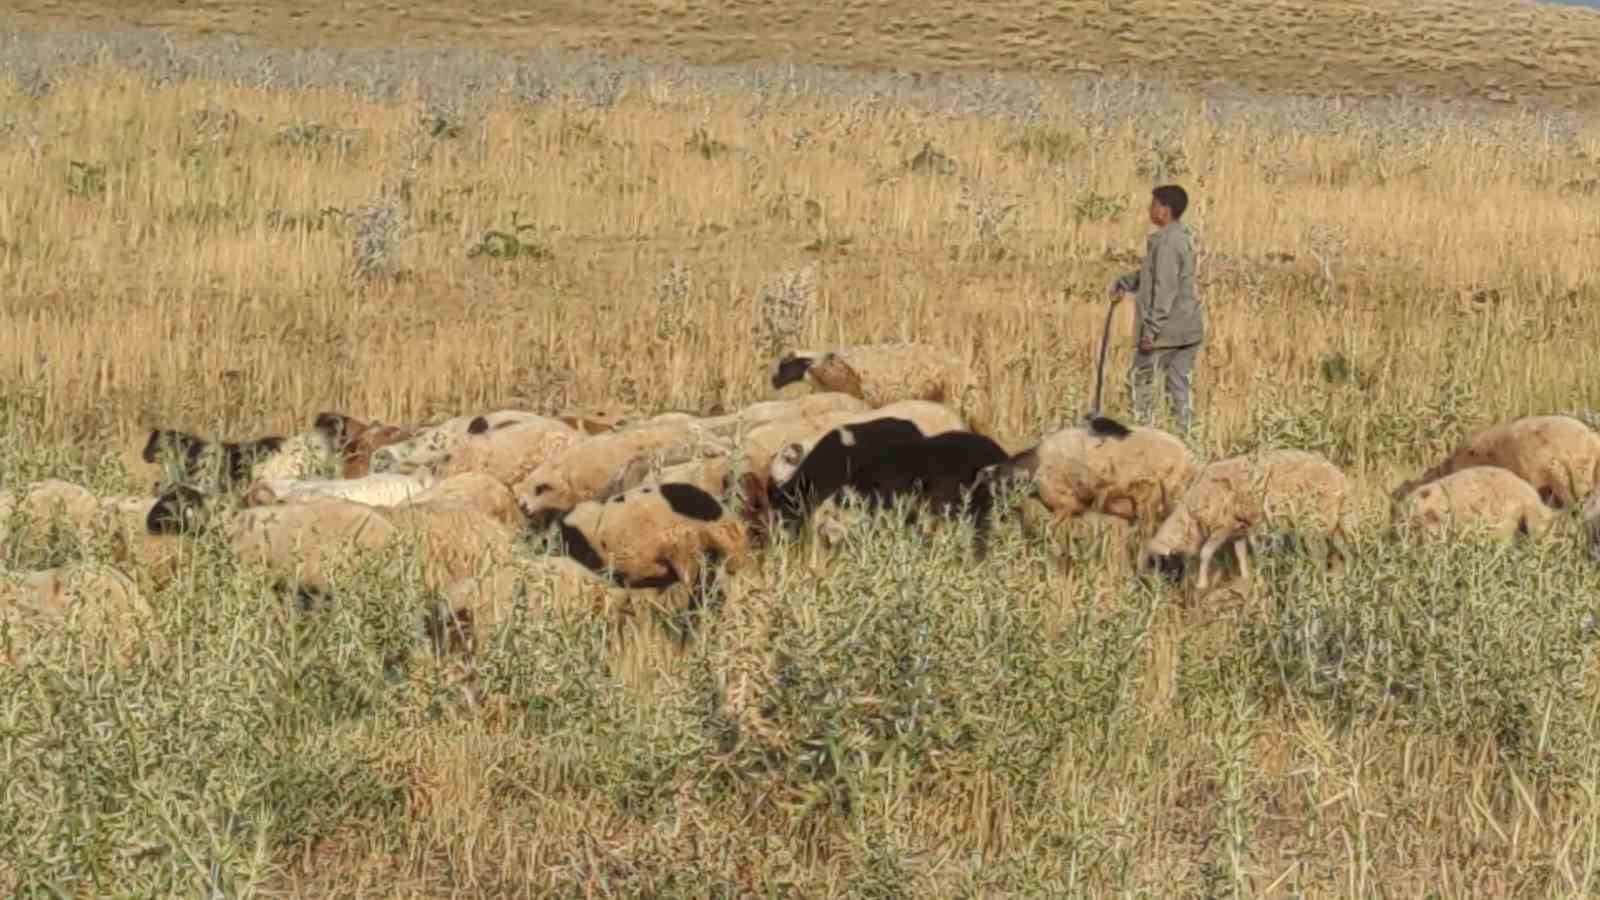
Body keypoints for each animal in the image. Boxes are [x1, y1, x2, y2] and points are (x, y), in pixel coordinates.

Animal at [1145, 445, 1356, 589]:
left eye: (1159, 564)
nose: (1156, 591)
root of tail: (1342, 481)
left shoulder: (1223, 526)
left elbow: (1206, 552)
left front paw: (1201, 584)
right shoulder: (1239, 530)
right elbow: (1240, 555)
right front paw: (1246, 578)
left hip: (1313, 521)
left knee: (1319, 554)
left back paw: (1317, 580)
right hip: (1335, 522)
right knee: (1344, 550)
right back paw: (1345, 577)